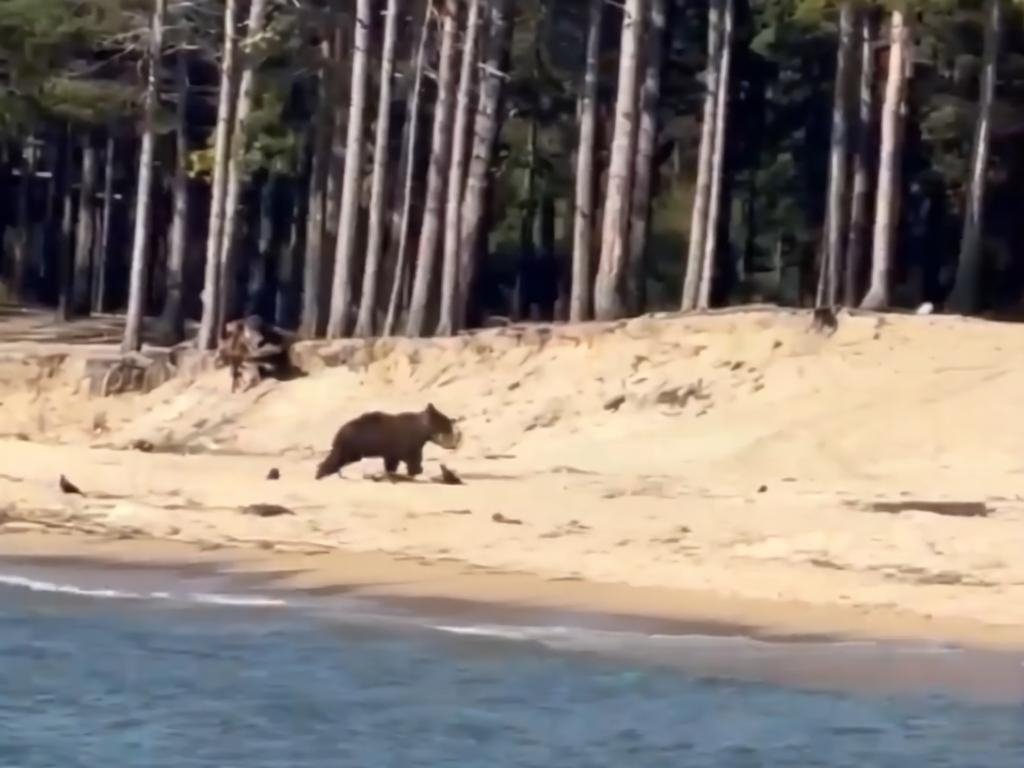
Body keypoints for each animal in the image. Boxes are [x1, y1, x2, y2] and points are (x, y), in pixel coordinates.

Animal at [314, 403, 462, 480]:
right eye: (447, 428)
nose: (454, 445)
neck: (421, 431)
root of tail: (338, 433)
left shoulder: (393, 450)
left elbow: (392, 462)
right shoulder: (408, 443)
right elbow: (413, 460)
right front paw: (415, 472)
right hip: (351, 446)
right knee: (335, 459)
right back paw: (321, 473)